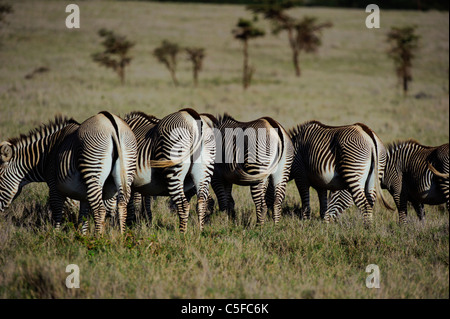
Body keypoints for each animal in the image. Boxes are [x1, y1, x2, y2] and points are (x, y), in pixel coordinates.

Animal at [0, 112, 137, 235]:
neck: (46, 155)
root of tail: (112, 125)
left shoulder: (54, 186)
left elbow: (57, 212)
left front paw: (55, 236)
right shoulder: (83, 194)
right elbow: (83, 217)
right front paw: (82, 237)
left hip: (93, 172)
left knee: (100, 210)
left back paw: (99, 239)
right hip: (126, 170)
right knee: (122, 206)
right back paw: (121, 238)